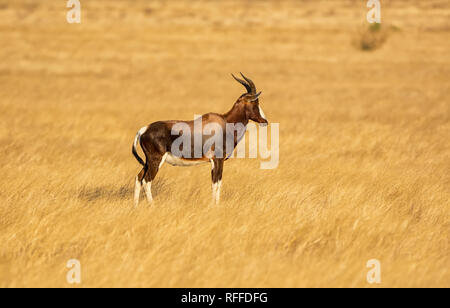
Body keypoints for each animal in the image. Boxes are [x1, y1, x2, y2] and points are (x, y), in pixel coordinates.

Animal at [132, 73, 268, 206]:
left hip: (148, 161)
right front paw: (215, 206)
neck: (225, 121)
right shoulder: (218, 160)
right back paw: (152, 205)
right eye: (256, 103)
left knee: (138, 178)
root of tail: (144, 129)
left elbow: (217, 183)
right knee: (146, 180)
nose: (265, 121)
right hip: (156, 160)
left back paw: (136, 206)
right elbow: (216, 183)